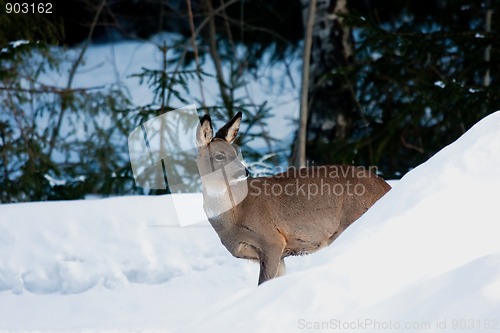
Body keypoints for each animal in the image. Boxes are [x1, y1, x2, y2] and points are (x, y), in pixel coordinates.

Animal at [195, 111, 390, 282]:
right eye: (219, 156)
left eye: (237, 153)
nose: (244, 172)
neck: (234, 215)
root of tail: (387, 186)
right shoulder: (279, 255)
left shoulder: (272, 240)